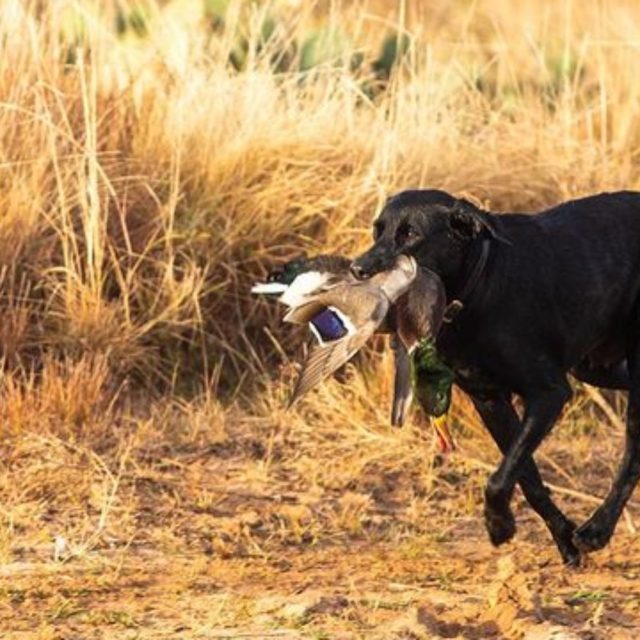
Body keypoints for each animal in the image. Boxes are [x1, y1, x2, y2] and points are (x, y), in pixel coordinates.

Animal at [351, 189, 640, 565]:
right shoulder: (489, 400)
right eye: (378, 231)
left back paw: (598, 530)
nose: (357, 270)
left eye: (411, 234)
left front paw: (499, 525)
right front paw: (563, 539)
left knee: (633, 453)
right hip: (598, 368)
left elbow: (500, 478)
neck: (481, 286)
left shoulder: (549, 394)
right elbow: (525, 476)